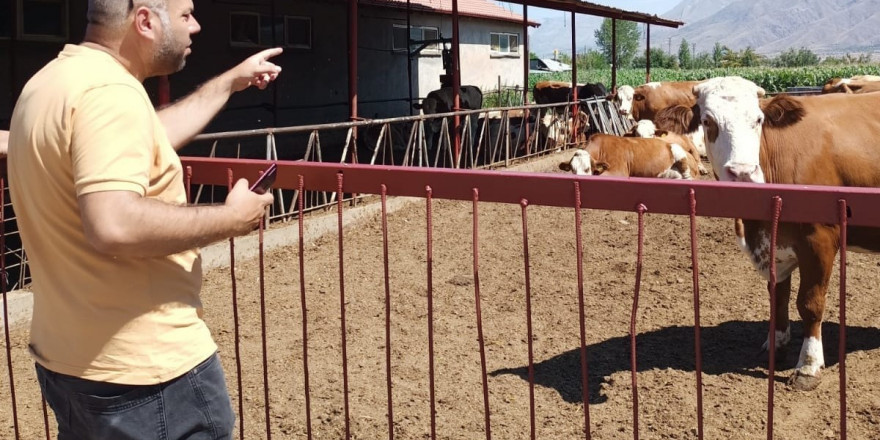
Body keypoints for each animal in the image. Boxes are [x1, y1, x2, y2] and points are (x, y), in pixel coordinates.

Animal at [696, 75, 880, 388]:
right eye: (708, 121)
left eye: (758, 119)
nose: (743, 173)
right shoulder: (773, 244)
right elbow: (778, 296)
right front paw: (776, 346)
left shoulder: (820, 239)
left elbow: (810, 303)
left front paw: (808, 366)